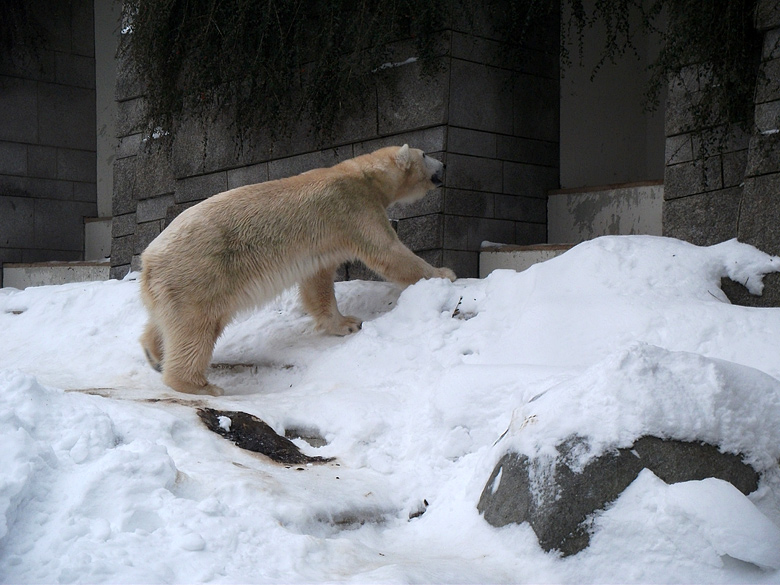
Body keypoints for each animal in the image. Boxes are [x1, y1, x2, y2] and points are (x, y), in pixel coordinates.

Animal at [139, 144, 454, 394]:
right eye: (425, 154)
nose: (445, 164)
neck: (363, 175)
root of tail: (147, 262)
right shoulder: (354, 207)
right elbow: (388, 252)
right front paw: (443, 274)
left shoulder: (324, 242)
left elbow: (318, 281)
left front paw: (345, 323)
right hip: (201, 273)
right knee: (197, 328)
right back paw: (199, 385)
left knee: (167, 323)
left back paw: (154, 354)